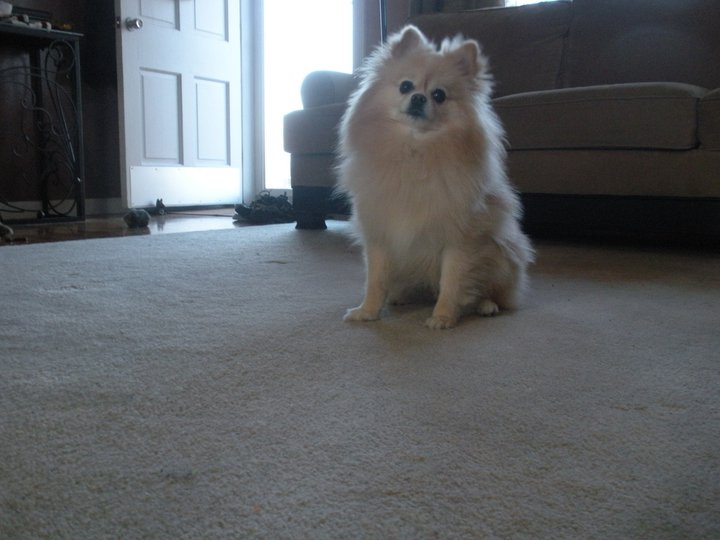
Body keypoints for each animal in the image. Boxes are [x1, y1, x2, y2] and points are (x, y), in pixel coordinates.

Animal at [334, 25, 532, 330]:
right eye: (405, 86)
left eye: (439, 95)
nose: (419, 97)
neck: (415, 152)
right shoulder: (380, 234)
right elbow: (375, 280)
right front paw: (368, 311)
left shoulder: (460, 240)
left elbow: (453, 280)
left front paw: (443, 316)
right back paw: (400, 296)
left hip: (500, 255)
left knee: (493, 291)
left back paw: (486, 305)